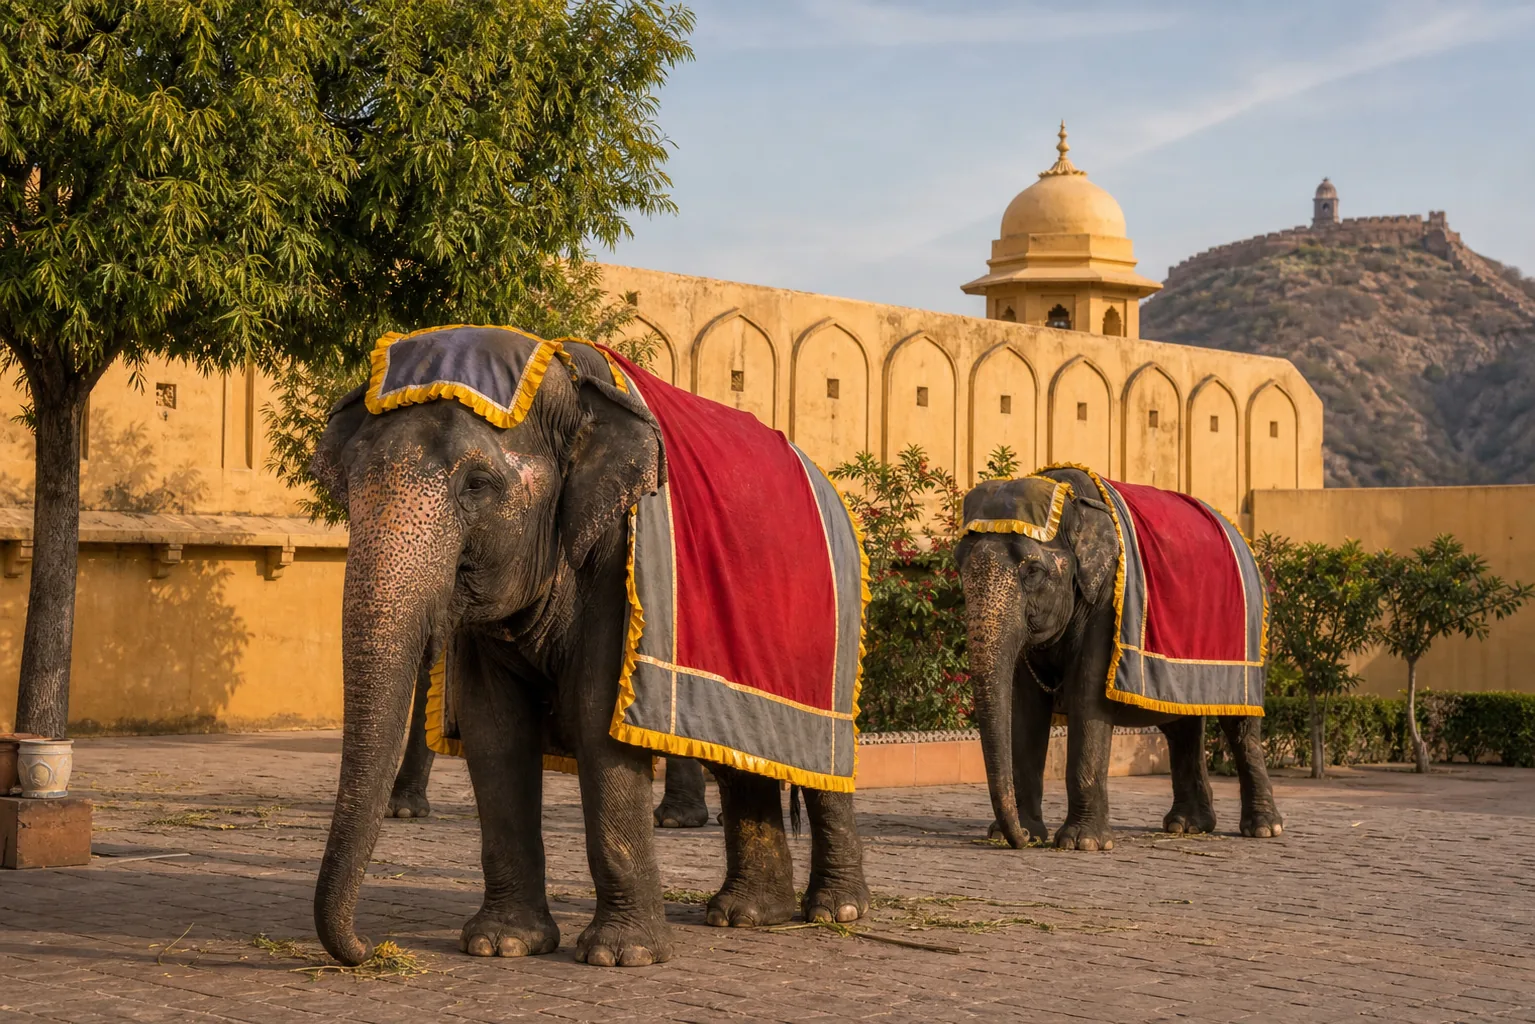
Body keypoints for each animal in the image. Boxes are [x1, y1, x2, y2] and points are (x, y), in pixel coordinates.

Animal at [309, 338, 868, 967]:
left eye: (476, 484)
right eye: (349, 482)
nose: (368, 947)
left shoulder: (620, 556)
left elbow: (599, 710)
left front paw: (620, 956)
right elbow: (491, 726)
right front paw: (500, 945)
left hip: (835, 635)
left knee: (824, 765)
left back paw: (836, 911)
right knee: (738, 758)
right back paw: (745, 915)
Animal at [955, 468, 1284, 851]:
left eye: (1033, 571)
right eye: (959, 567)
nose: (1019, 839)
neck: (1071, 504)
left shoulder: (1109, 599)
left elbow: (1088, 697)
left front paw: (1081, 844)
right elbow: (1024, 708)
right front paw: (1023, 834)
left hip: (1252, 635)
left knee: (1241, 726)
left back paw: (1263, 828)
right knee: (1180, 726)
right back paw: (1186, 825)